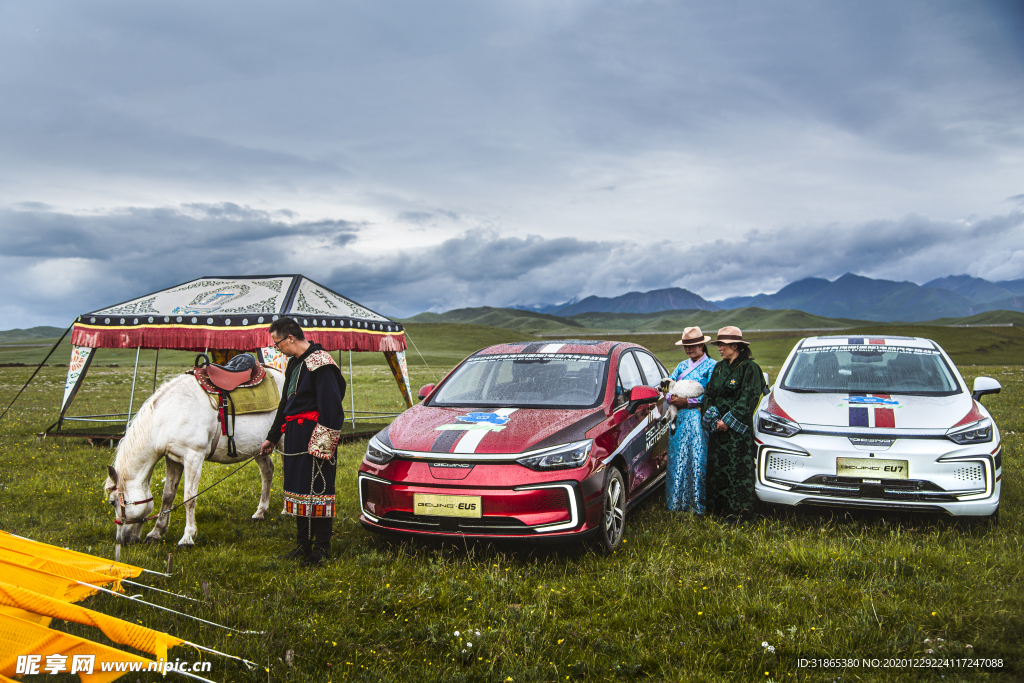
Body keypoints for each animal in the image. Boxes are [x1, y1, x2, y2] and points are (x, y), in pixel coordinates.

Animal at [103, 366, 284, 548]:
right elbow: (168, 495)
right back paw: (260, 512)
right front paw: (156, 532)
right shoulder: (173, 459)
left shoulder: (193, 457)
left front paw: (187, 537)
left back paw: (286, 510)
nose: (121, 540)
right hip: (259, 447)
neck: (167, 416)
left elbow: (189, 498)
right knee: (267, 471)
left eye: (113, 502)